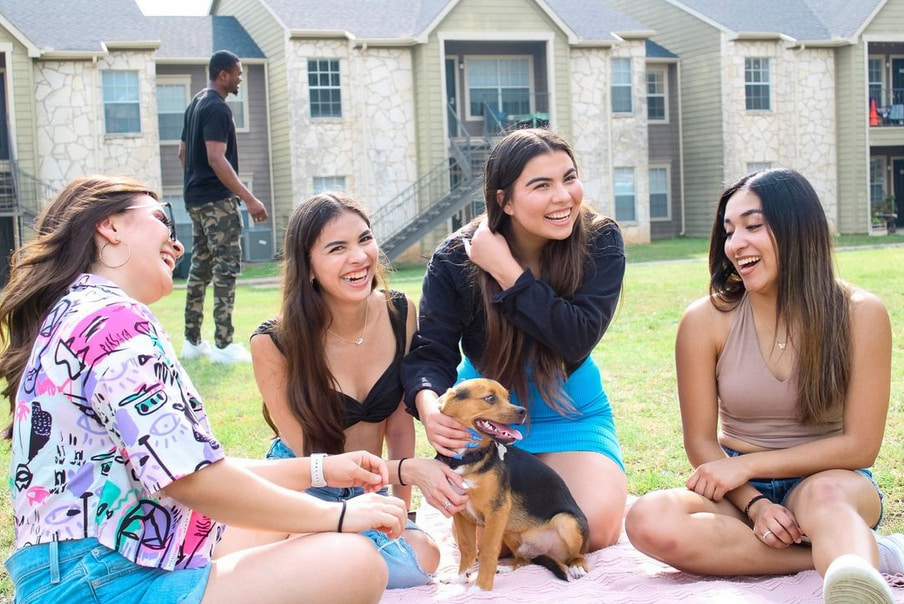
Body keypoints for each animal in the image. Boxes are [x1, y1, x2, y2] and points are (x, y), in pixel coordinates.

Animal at [434, 378, 588, 588]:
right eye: (490, 398)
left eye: (508, 397)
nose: (523, 411)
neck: (467, 458)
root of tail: (546, 550)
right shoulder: (461, 512)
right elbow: (467, 548)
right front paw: (460, 578)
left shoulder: (496, 511)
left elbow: (488, 551)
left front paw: (481, 588)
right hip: (509, 528)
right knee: (524, 559)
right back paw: (507, 567)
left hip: (566, 522)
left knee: (580, 555)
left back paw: (577, 566)